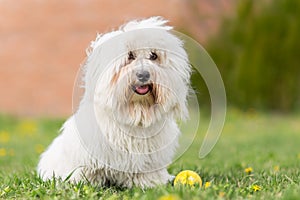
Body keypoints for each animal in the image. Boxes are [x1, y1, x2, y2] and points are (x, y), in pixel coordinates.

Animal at [37, 16, 191, 188]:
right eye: (130, 56)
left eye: (153, 56)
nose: (144, 74)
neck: (136, 110)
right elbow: (87, 171)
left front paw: (151, 183)